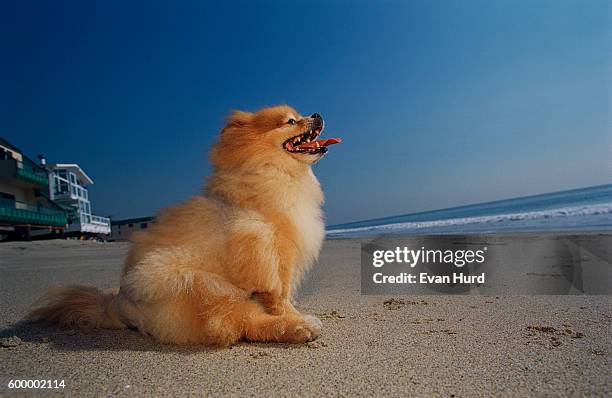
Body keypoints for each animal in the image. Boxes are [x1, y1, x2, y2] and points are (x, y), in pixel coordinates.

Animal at [27, 105, 340, 346]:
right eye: (290, 121)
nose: (316, 113)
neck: (275, 173)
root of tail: (117, 305)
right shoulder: (270, 255)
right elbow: (280, 296)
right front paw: (292, 316)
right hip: (201, 286)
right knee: (241, 323)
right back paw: (300, 328)